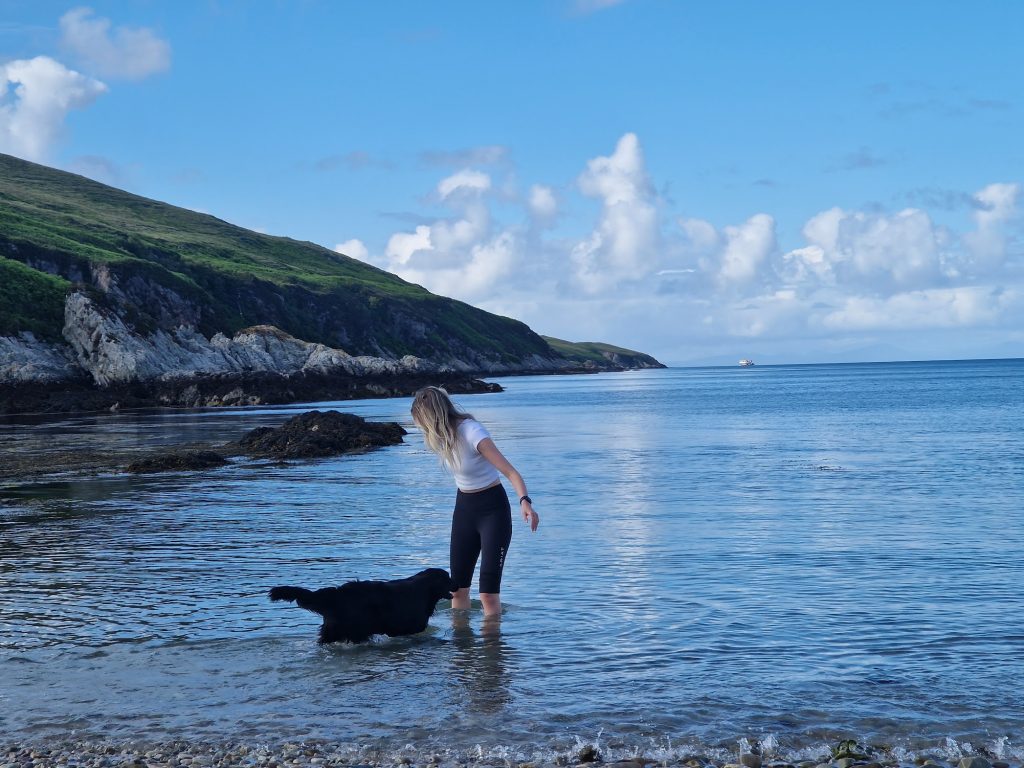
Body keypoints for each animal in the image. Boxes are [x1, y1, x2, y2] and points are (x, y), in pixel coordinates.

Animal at [268, 569, 456, 647]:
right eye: (447, 578)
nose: (458, 583)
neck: (425, 588)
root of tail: (338, 594)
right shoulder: (408, 626)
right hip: (357, 629)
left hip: (331, 631)